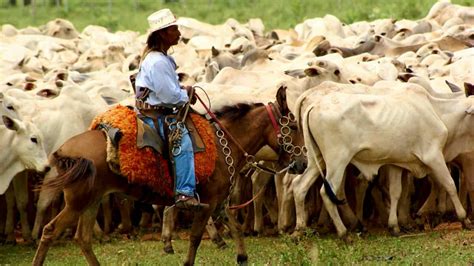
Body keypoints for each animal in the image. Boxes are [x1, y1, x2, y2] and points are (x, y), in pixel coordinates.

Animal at [34, 87, 308, 264]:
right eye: (293, 126)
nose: (303, 162)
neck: (223, 145)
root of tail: (64, 149)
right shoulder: (207, 202)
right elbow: (196, 238)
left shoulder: (219, 200)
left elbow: (235, 224)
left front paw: (241, 255)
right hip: (77, 202)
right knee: (49, 231)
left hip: (91, 201)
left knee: (83, 239)